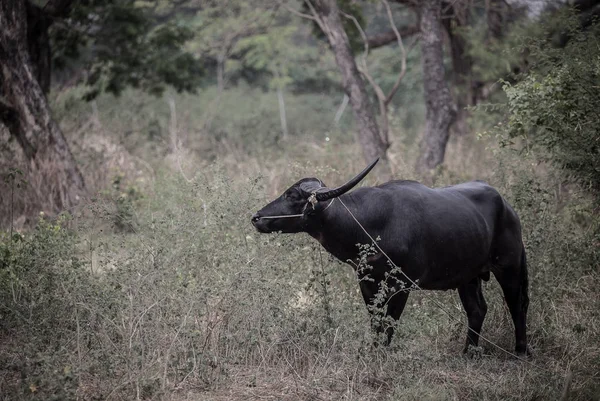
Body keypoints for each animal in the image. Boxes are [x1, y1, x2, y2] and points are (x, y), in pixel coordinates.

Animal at [252, 158, 528, 354]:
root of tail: (507, 207)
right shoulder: (367, 281)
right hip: (468, 276)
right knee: (477, 309)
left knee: (518, 303)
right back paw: (468, 351)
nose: (256, 217)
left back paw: (521, 351)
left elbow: (389, 322)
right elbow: (376, 321)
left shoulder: (400, 284)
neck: (371, 224)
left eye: (291, 195)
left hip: (510, 266)